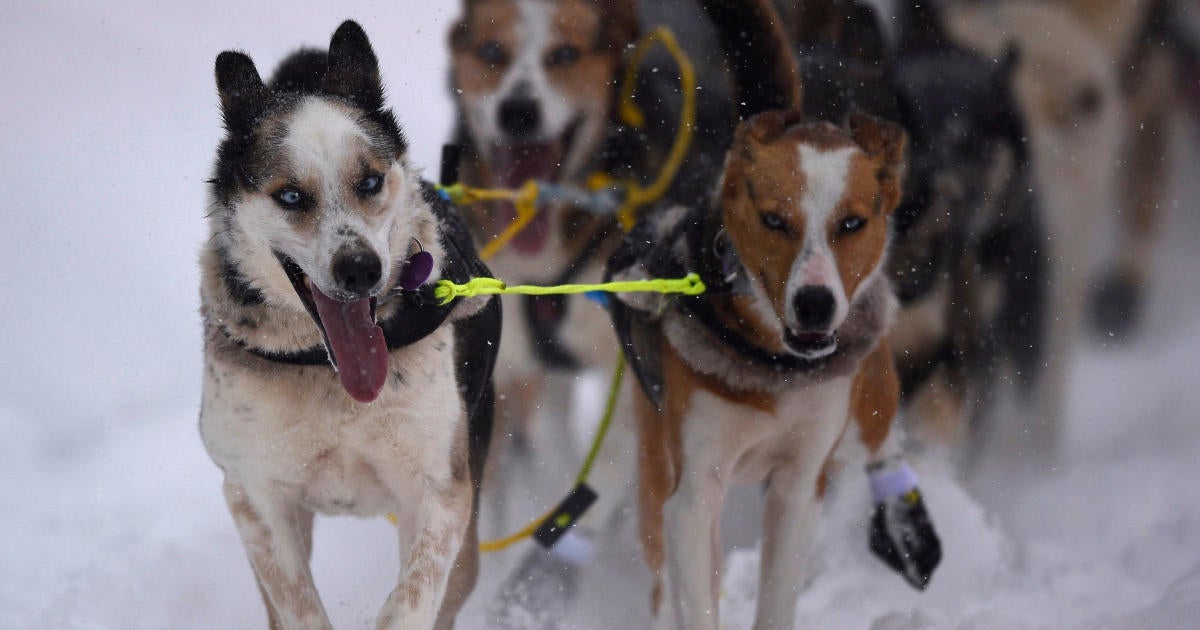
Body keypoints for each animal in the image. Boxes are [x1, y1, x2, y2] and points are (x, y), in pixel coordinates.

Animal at [199, 20, 499, 628]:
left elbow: (411, 601)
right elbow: (297, 603)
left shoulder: (439, 493)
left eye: (370, 182)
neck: (328, 372)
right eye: (291, 195)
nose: (361, 268)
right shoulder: (257, 498)